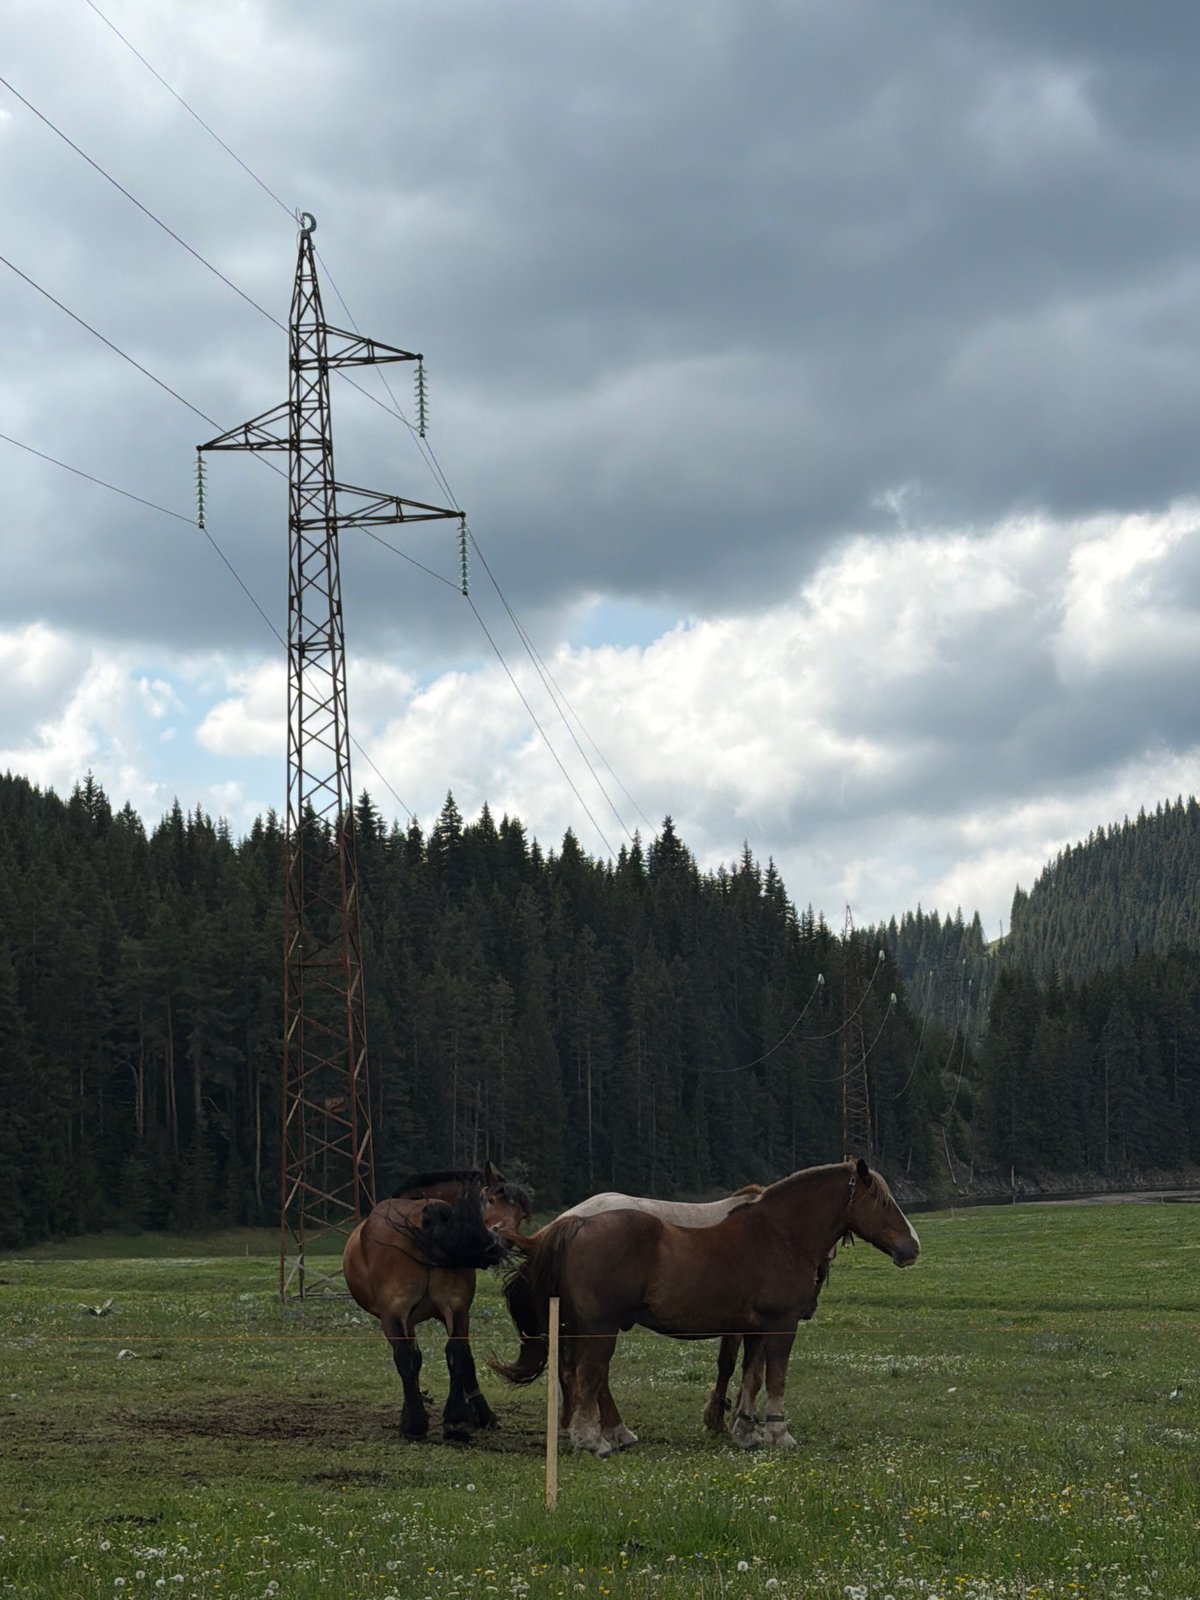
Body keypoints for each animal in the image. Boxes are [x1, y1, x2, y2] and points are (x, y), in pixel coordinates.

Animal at [344, 1164, 533, 1441]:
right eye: (491, 1200)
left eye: (520, 1214)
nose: (503, 1239)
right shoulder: (447, 1312)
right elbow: (453, 1357)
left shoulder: (401, 1318)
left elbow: (412, 1358)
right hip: (455, 1308)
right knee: (455, 1351)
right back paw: (454, 1419)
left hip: (394, 1314)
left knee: (407, 1356)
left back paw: (417, 1424)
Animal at [491, 1157, 919, 1457]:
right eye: (882, 1200)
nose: (911, 1248)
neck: (780, 1234)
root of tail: (574, 1223)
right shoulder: (781, 1324)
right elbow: (775, 1378)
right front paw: (777, 1432)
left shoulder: (754, 1327)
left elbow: (751, 1375)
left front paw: (745, 1430)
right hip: (599, 1327)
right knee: (589, 1375)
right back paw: (593, 1438)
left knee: (580, 1376)